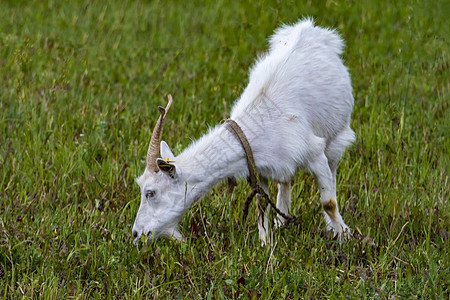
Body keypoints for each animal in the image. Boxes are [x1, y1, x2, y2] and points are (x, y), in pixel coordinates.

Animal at [132, 18, 354, 244]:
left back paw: (331, 227)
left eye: (150, 192)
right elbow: (261, 205)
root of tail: (310, 28)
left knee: (332, 170)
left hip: (338, 137)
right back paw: (282, 222)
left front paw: (345, 237)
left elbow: (329, 202)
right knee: (285, 182)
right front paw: (265, 244)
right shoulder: (260, 168)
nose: (136, 234)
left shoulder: (314, 154)